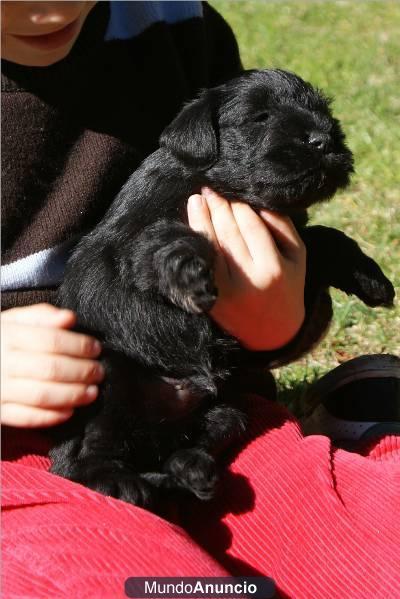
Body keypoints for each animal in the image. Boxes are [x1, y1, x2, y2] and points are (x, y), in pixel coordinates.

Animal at [49, 69, 394, 510]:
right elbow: (171, 239)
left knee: (191, 443)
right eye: (260, 117)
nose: (323, 139)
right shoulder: (139, 236)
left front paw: (372, 278)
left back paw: (191, 470)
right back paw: (117, 481)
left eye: (323, 111)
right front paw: (190, 278)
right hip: (103, 374)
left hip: (227, 408)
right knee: (82, 457)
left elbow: (323, 236)